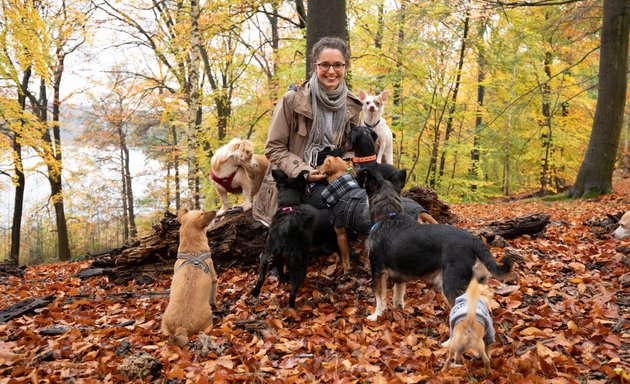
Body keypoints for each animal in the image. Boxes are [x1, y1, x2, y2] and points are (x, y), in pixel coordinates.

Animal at [162, 208, 218, 346]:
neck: (193, 251)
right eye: (202, 212)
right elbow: (213, 295)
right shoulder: (214, 278)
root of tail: (181, 328)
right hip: (207, 318)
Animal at [252, 170, 318, 308]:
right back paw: (293, 307)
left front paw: (282, 280)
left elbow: (280, 270)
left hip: (266, 256)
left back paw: (255, 293)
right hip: (300, 263)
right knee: (293, 292)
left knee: (261, 278)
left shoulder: (277, 258)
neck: (289, 204)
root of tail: (287, 227)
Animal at [356, 169, 512, 320]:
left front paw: (376, 315)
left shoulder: (378, 270)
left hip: (453, 285)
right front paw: (398, 311)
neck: (388, 216)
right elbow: (398, 295)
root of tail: (474, 241)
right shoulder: (399, 277)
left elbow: (380, 297)